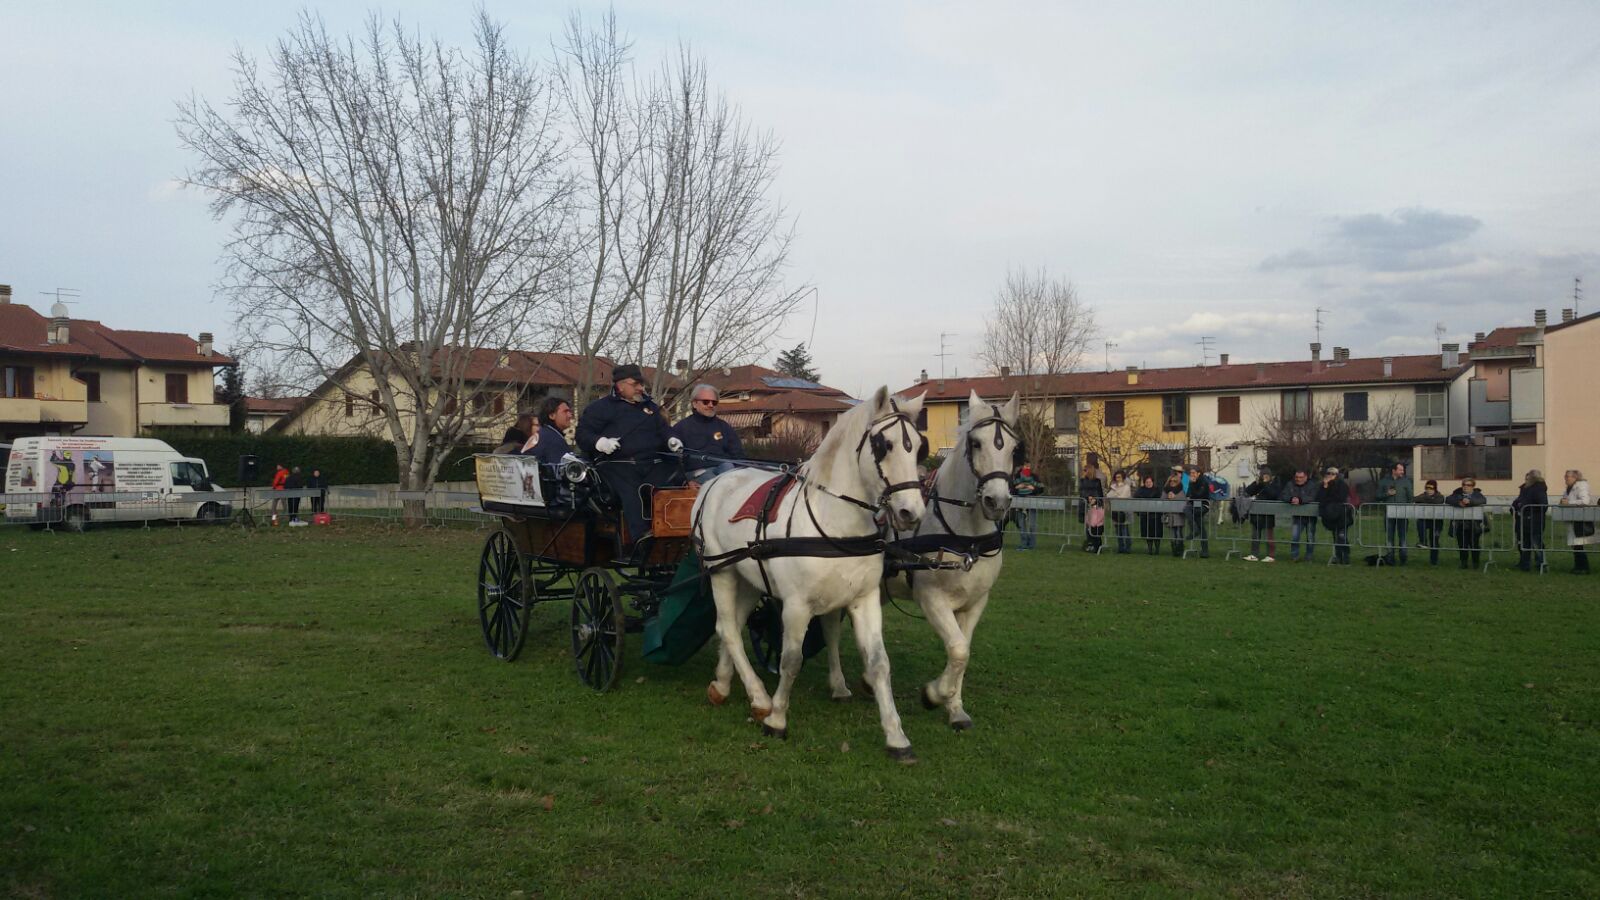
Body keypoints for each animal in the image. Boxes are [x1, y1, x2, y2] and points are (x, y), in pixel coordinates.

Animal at [694, 384, 934, 755]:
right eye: (884, 445)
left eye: (920, 446)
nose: (911, 512)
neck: (834, 522)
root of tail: (716, 480)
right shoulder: (796, 605)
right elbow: (790, 660)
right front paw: (777, 720)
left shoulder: (864, 600)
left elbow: (879, 663)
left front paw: (896, 736)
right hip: (721, 572)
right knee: (729, 629)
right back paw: (760, 697)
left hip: (747, 578)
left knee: (731, 623)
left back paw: (722, 684)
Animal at [844, 390, 1017, 730]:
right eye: (976, 443)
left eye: (1015, 448)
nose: (997, 501)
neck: (966, 536)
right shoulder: (932, 599)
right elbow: (959, 650)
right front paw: (933, 695)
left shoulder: (975, 603)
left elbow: (962, 652)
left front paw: (955, 709)